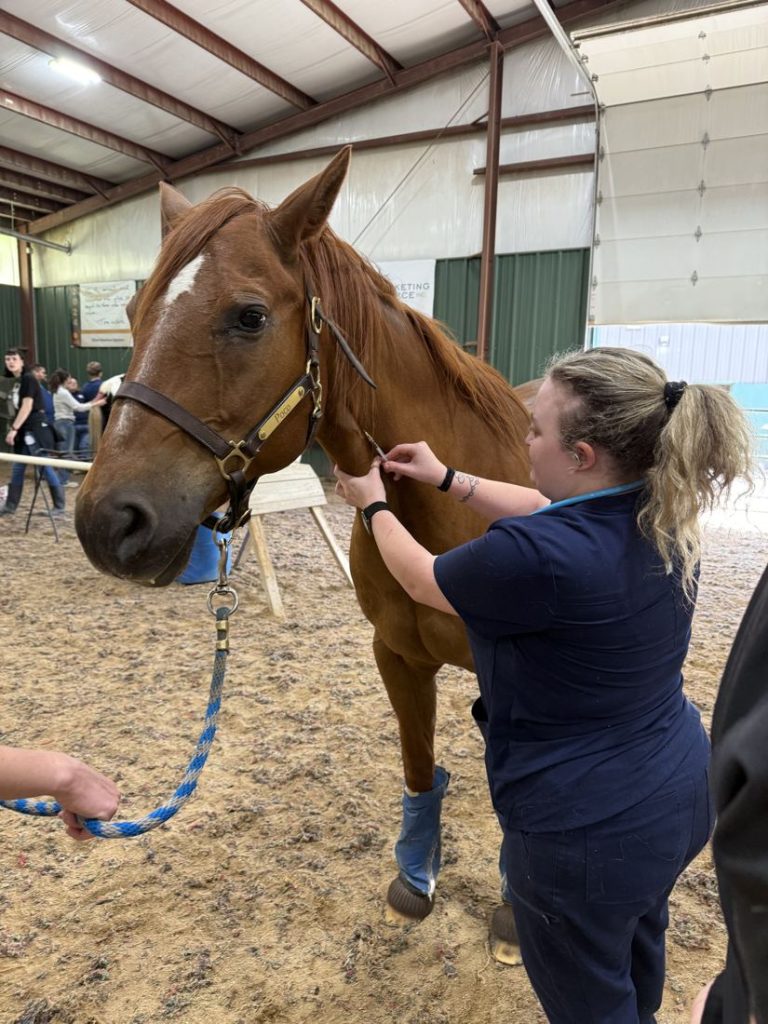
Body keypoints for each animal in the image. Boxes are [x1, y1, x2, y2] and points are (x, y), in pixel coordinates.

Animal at [74, 148, 534, 955]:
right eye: (132, 316)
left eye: (250, 316)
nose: (107, 522)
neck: (446, 517)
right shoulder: (398, 656)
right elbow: (421, 770)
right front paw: (417, 878)